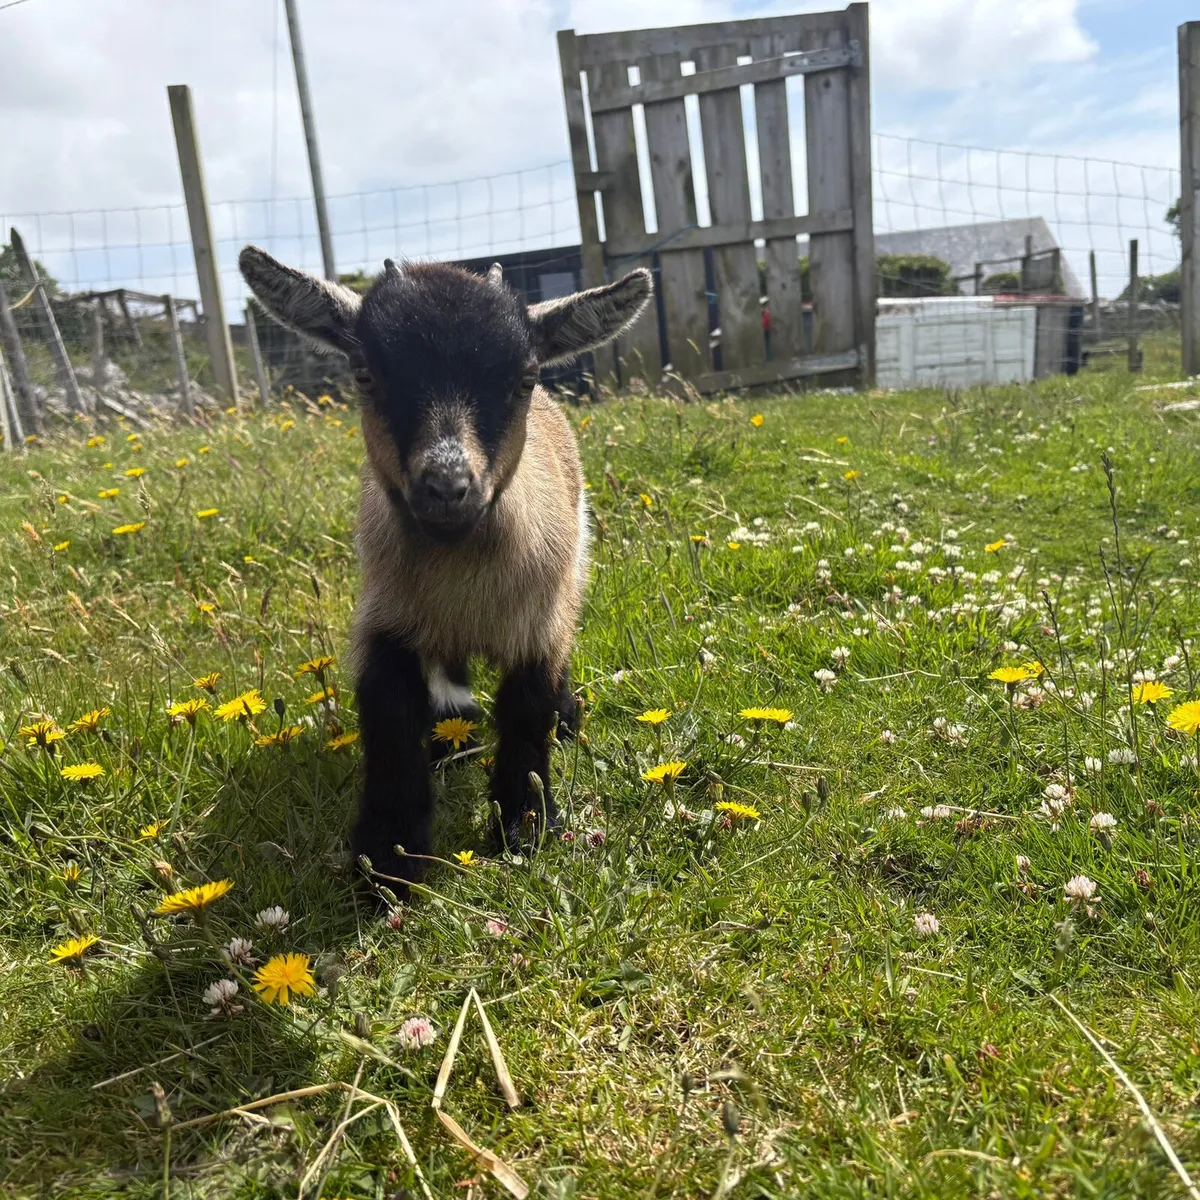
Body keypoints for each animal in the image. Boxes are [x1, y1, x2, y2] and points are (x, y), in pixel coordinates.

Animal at [238, 246, 653, 882]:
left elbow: (528, 710)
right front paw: (387, 857)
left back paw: (564, 721)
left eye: (524, 379)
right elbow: (389, 717)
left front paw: (524, 827)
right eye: (365, 374)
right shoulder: (386, 616)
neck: (464, 577)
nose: (448, 487)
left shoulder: (541, 620)